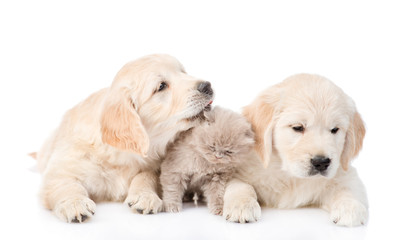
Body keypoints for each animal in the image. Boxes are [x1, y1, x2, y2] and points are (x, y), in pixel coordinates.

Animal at [224, 74, 370, 228]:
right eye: (298, 127)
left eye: (335, 129)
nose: (321, 162)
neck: (290, 176)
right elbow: (240, 185)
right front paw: (241, 205)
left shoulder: (344, 172)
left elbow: (348, 188)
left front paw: (350, 207)